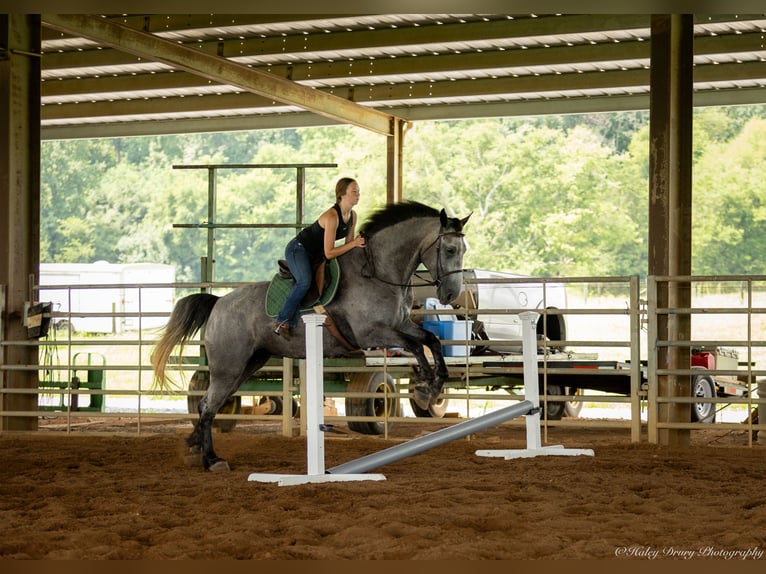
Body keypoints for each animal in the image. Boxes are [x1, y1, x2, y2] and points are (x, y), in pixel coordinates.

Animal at [152, 202, 472, 472]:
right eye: (449, 250)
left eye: (463, 249)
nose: (451, 295)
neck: (379, 272)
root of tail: (218, 302)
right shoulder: (371, 332)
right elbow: (417, 345)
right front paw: (424, 389)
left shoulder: (401, 324)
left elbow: (430, 340)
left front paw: (435, 385)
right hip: (228, 367)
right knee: (208, 406)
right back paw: (211, 460)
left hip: (247, 365)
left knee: (212, 404)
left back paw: (193, 448)